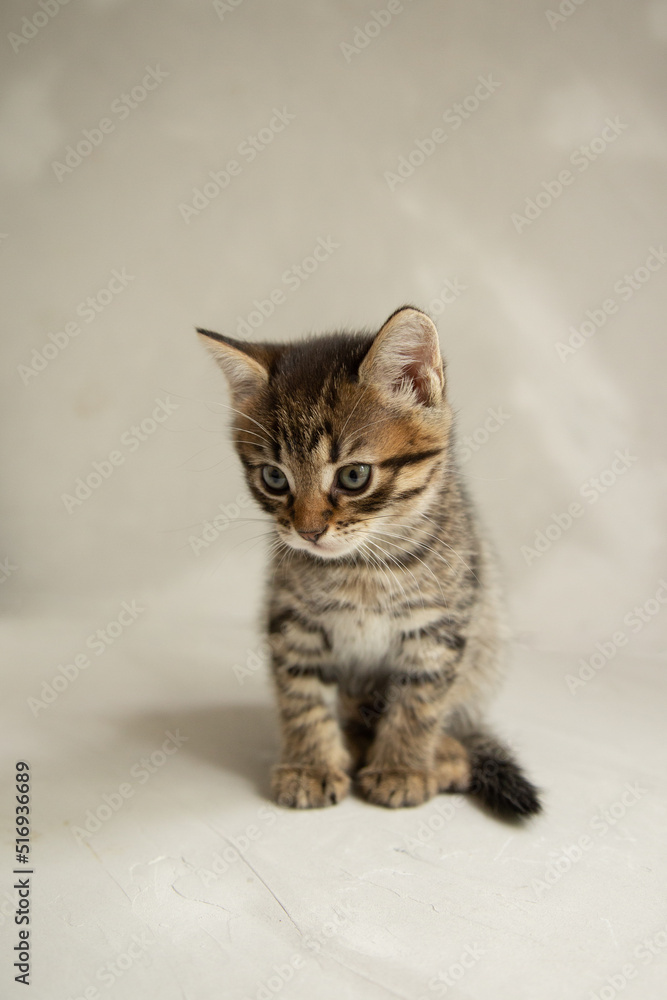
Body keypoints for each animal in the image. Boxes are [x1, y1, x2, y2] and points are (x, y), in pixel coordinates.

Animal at [198, 308, 544, 816]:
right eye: (274, 478)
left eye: (354, 475)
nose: (307, 532)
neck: (361, 568)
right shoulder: (293, 620)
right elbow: (301, 697)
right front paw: (311, 766)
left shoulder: (438, 626)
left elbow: (419, 703)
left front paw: (401, 769)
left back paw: (444, 756)